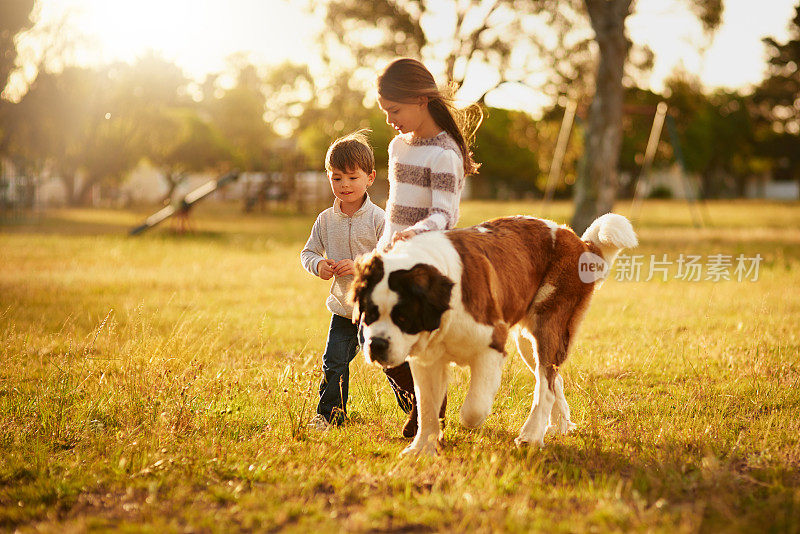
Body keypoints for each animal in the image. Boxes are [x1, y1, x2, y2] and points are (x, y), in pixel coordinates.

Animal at [350, 214, 636, 456]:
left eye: (402, 317)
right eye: (369, 314)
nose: (376, 344)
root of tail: (576, 240)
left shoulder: (491, 346)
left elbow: (473, 408)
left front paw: (468, 423)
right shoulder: (426, 361)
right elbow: (427, 408)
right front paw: (422, 449)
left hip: (548, 323)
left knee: (545, 383)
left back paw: (531, 436)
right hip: (527, 341)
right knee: (553, 378)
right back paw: (559, 425)